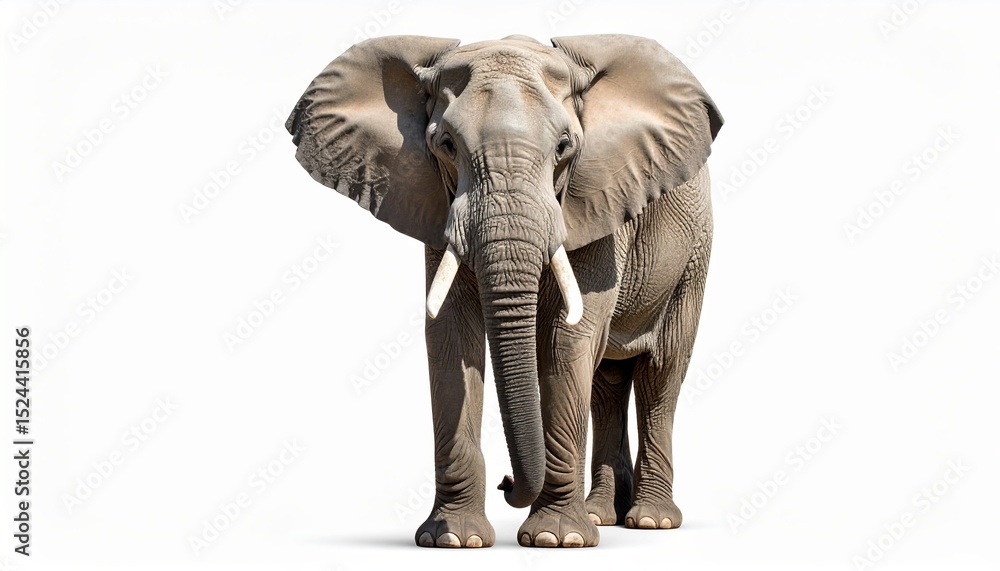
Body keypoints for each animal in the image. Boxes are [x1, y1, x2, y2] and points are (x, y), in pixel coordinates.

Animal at [286, 34, 722, 548]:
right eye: (446, 145)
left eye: (564, 147)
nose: (507, 481)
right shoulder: (438, 208)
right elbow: (451, 337)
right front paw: (453, 540)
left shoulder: (593, 205)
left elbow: (565, 340)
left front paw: (556, 540)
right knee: (606, 383)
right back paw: (601, 515)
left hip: (694, 252)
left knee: (660, 373)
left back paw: (650, 521)